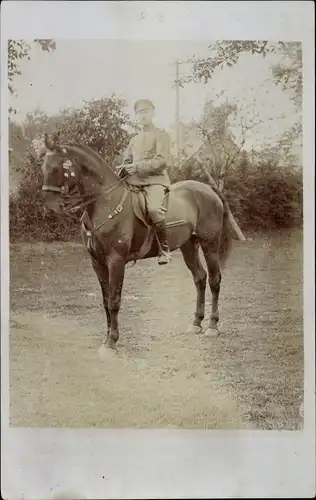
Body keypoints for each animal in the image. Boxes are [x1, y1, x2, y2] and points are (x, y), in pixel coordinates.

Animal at [42, 133, 238, 352]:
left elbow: (114, 300)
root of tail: (208, 188)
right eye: (43, 168)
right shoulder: (97, 263)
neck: (105, 201)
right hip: (188, 246)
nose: (49, 209)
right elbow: (105, 301)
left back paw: (212, 326)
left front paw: (111, 342)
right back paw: (196, 323)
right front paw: (106, 339)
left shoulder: (116, 261)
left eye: (56, 168)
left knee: (214, 280)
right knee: (200, 278)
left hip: (209, 243)